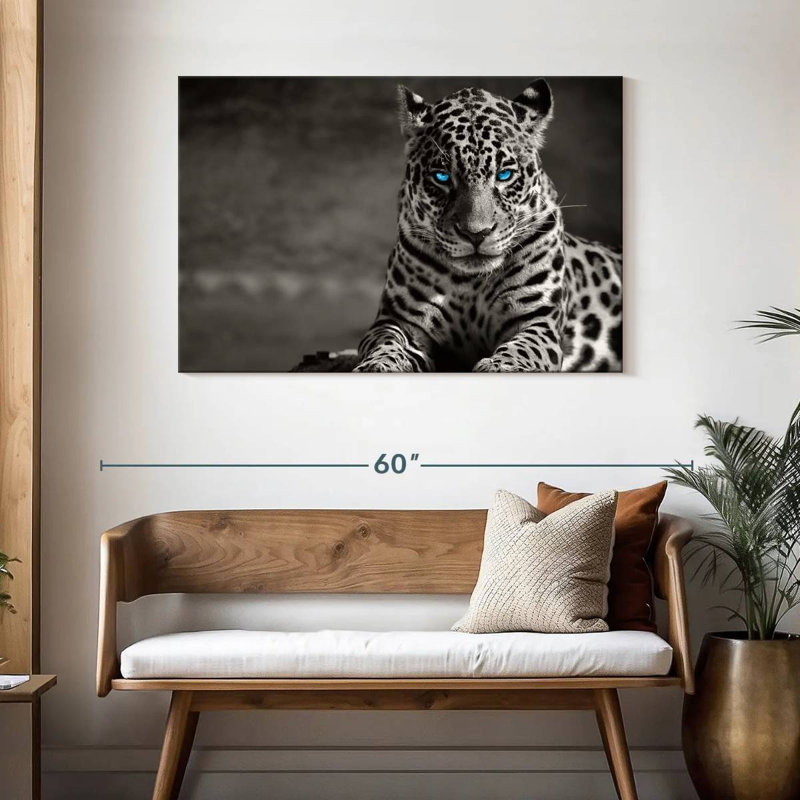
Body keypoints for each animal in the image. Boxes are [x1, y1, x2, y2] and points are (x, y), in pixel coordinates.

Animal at [353, 79, 622, 373]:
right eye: (442, 177)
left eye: (504, 175)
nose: (476, 233)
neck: (471, 282)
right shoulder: (399, 319)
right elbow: (386, 343)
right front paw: (377, 365)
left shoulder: (537, 319)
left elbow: (522, 349)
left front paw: (501, 367)